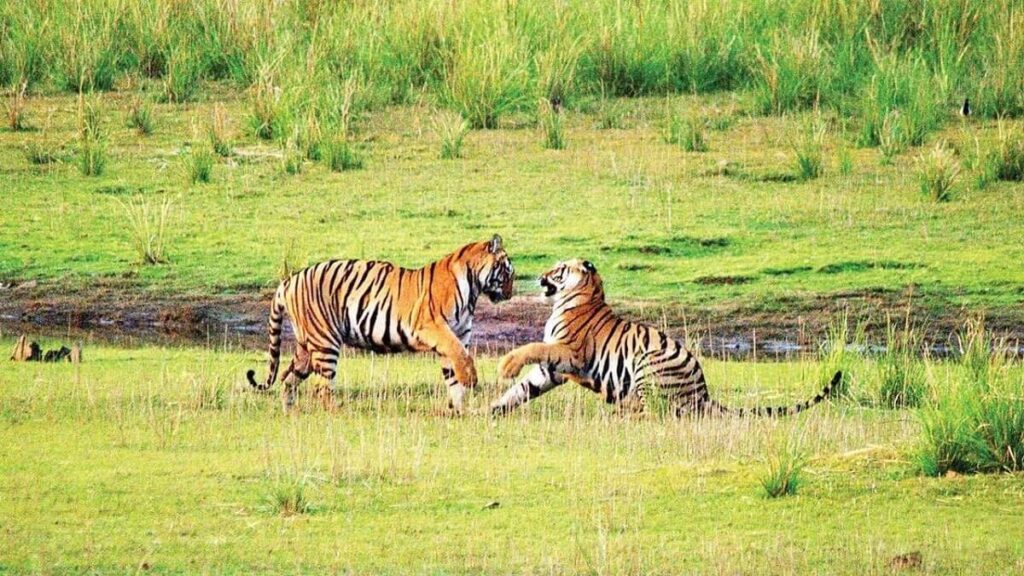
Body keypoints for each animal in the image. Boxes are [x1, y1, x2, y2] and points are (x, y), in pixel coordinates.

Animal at [246, 235, 514, 413]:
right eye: (508, 272)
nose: (511, 293)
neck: (473, 289)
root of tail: (288, 282)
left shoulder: (458, 334)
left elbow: (453, 374)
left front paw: (458, 409)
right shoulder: (434, 328)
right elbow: (462, 357)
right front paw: (471, 380)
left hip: (306, 347)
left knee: (287, 377)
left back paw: (289, 412)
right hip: (325, 343)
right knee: (321, 388)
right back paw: (337, 412)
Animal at [491, 259, 840, 417]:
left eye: (559, 268)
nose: (540, 277)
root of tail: (704, 393)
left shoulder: (570, 353)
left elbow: (532, 347)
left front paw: (506, 366)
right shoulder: (553, 369)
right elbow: (524, 388)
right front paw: (493, 410)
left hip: (648, 361)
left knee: (655, 413)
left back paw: (621, 416)